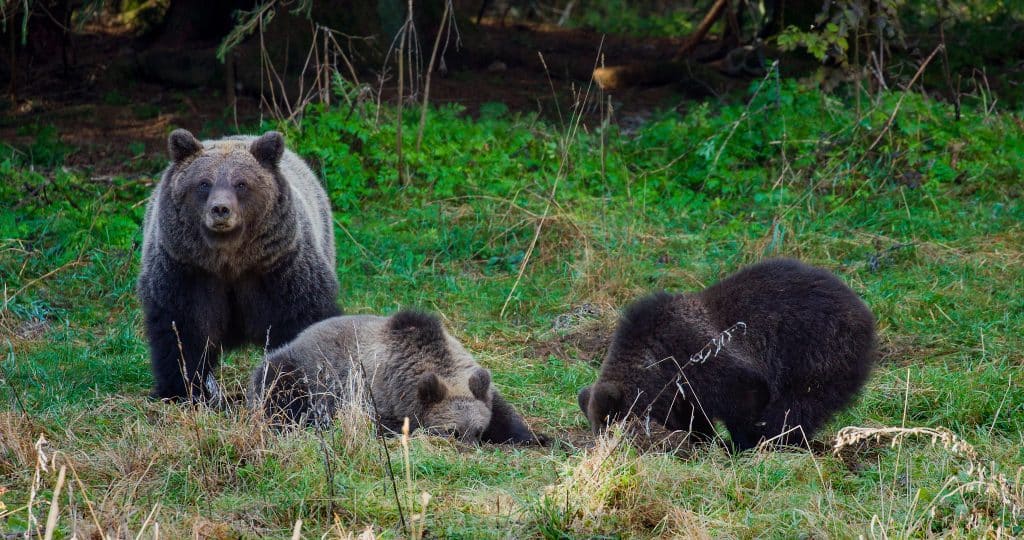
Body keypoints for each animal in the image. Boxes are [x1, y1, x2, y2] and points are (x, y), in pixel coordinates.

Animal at [138, 129, 341, 401]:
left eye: (241, 183)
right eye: (204, 183)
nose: (220, 209)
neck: (230, 260)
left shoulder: (280, 269)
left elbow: (303, 319)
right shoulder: (186, 271)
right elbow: (181, 330)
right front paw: (182, 389)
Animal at [248, 310, 546, 444]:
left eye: (478, 430)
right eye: (452, 431)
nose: (470, 447)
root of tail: (300, 336)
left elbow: (504, 415)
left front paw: (535, 436)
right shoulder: (372, 396)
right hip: (297, 371)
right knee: (278, 392)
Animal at [577, 258, 876, 451]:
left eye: (613, 431)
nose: (606, 452)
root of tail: (863, 310)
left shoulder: (706, 360)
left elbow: (743, 400)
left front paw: (741, 444)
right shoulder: (682, 390)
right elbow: (693, 416)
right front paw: (700, 440)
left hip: (816, 351)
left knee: (796, 406)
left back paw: (779, 441)